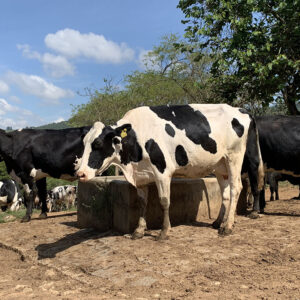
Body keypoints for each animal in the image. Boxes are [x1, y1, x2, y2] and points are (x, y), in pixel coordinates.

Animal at [76, 104, 264, 240]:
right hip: (220, 165)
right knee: (225, 193)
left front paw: (164, 231)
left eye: (98, 144)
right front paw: (139, 231)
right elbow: (142, 203)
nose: (80, 173)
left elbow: (165, 201)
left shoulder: (163, 171)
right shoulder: (141, 177)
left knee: (235, 188)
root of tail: (242, 110)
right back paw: (219, 222)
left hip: (234, 157)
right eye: (83, 143)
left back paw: (228, 226)